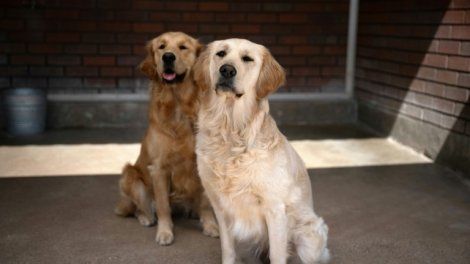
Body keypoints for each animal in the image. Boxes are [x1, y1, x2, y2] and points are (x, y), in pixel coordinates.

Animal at [114, 32, 218, 245]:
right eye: (161, 47)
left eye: (183, 47)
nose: (168, 57)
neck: (178, 104)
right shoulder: (159, 169)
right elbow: (163, 206)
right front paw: (164, 232)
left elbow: (205, 203)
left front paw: (210, 225)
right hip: (131, 176)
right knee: (139, 208)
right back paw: (146, 217)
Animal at [193, 38, 328, 262]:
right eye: (221, 54)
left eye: (247, 59)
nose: (226, 70)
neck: (230, 131)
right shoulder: (220, 207)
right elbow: (228, 250)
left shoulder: (275, 209)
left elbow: (277, 255)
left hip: (310, 238)